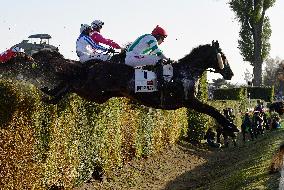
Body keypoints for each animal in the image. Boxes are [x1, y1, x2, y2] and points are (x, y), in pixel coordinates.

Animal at [0, 40, 240, 132]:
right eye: (224, 56)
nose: (230, 73)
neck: (186, 72)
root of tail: (95, 64)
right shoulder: (189, 101)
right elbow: (213, 110)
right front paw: (231, 126)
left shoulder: (189, 102)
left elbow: (213, 110)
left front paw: (230, 126)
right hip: (93, 90)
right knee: (71, 82)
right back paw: (50, 93)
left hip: (99, 94)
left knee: (70, 84)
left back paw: (49, 93)